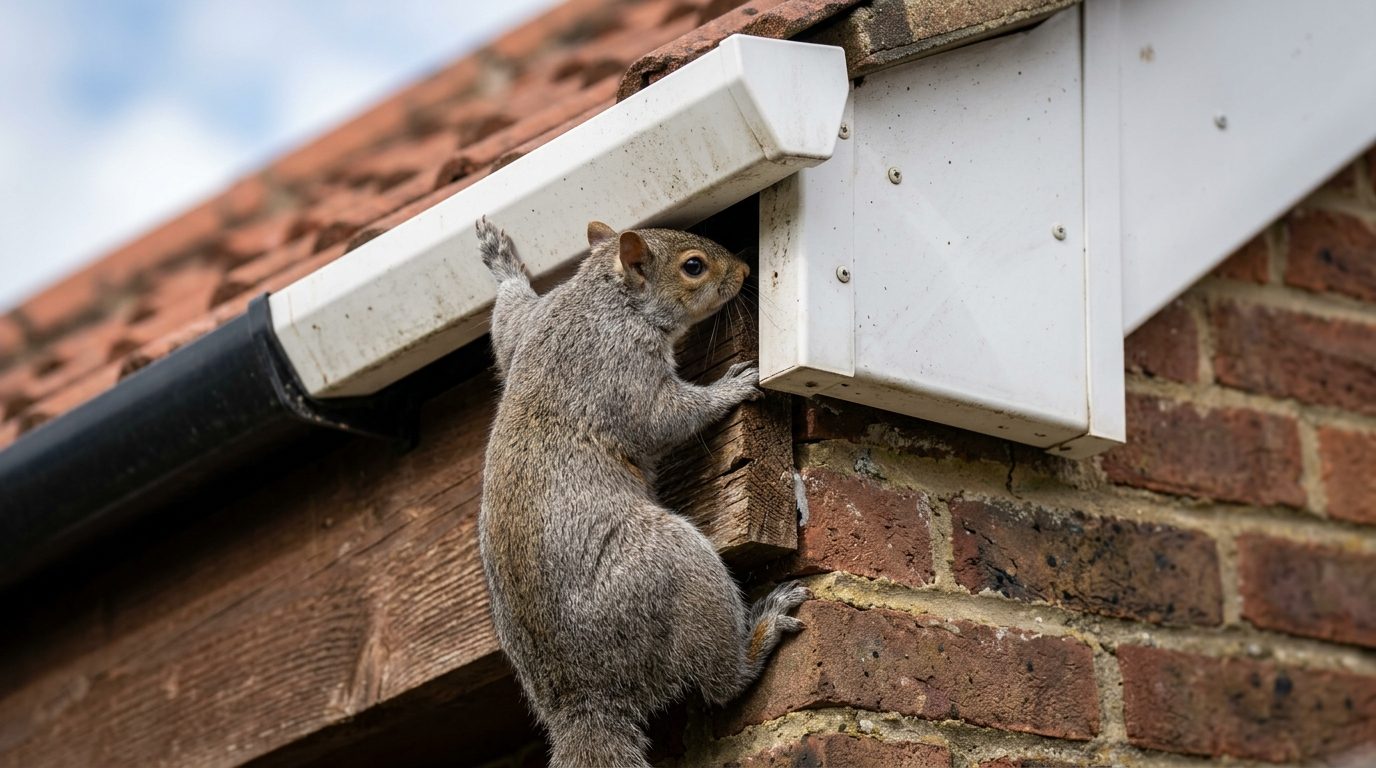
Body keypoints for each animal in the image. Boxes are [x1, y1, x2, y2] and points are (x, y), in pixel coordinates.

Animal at [475, 217, 809, 768]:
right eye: (694, 266)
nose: (744, 269)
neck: (603, 298)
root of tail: (585, 699)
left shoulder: (531, 325)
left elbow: (506, 328)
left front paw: (499, 260)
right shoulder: (621, 371)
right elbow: (663, 418)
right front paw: (730, 388)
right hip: (673, 567)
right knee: (720, 683)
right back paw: (758, 636)